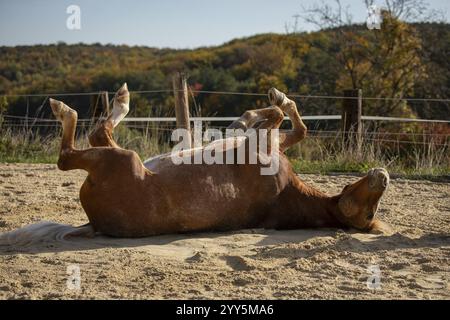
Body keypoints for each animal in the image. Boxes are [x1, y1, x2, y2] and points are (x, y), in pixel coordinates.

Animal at [0, 84, 390, 244]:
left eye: (369, 213)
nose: (382, 176)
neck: (287, 192)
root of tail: (93, 224)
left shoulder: (263, 145)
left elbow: (278, 116)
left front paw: (266, 105)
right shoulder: (273, 141)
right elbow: (293, 123)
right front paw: (256, 110)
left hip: (123, 160)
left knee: (75, 150)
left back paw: (73, 107)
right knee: (99, 133)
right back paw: (121, 100)